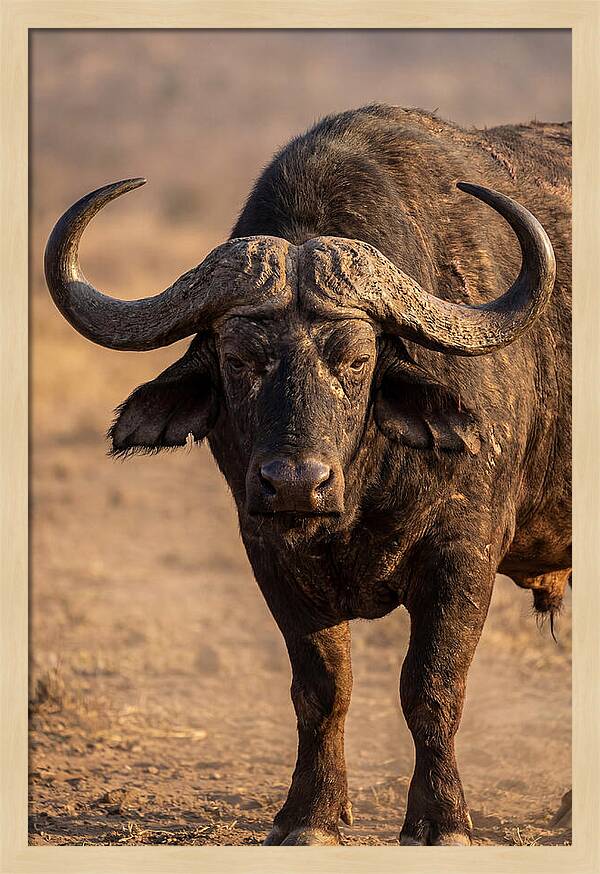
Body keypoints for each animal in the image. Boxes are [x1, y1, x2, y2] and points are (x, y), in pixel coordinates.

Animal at [44, 105, 571, 846]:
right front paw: (311, 816)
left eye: (356, 359)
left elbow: (432, 687)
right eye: (239, 359)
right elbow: (322, 690)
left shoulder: (463, 554)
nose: (295, 482)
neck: (360, 492)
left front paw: (441, 821)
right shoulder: (269, 553)